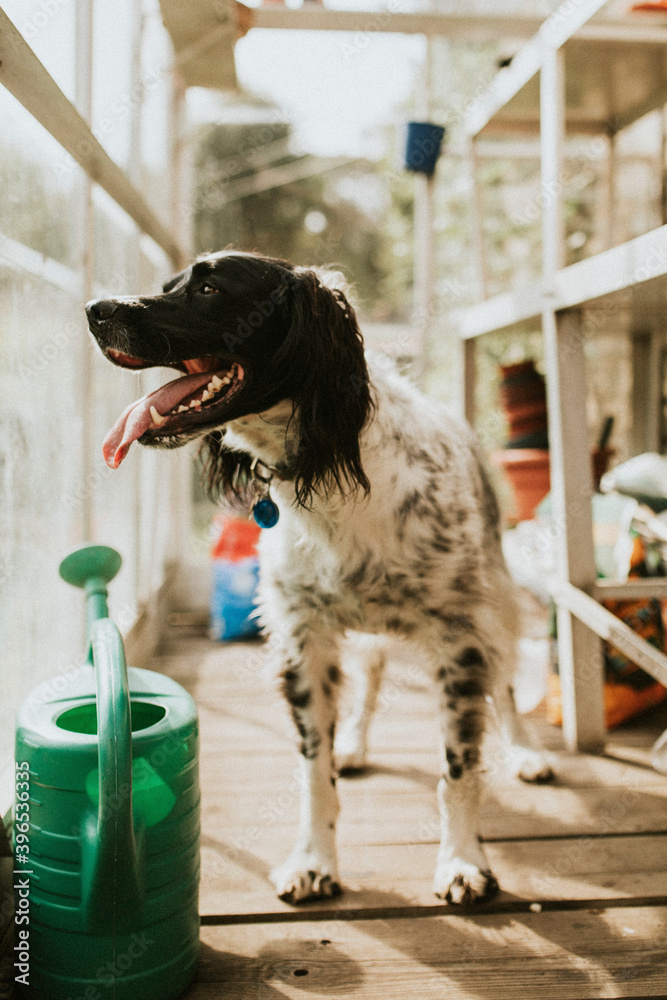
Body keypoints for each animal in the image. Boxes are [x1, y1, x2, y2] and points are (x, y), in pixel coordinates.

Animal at [85, 250, 552, 908]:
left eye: (209, 288)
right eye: (169, 285)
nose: (95, 310)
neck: (327, 467)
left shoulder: (460, 636)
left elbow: (457, 768)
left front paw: (462, 861)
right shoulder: (304, 640)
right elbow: (314, 772)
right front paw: (313, 859)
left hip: (492, 599)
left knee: (505, 683)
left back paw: (526, 751)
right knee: (374, 670)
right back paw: (354, 742)